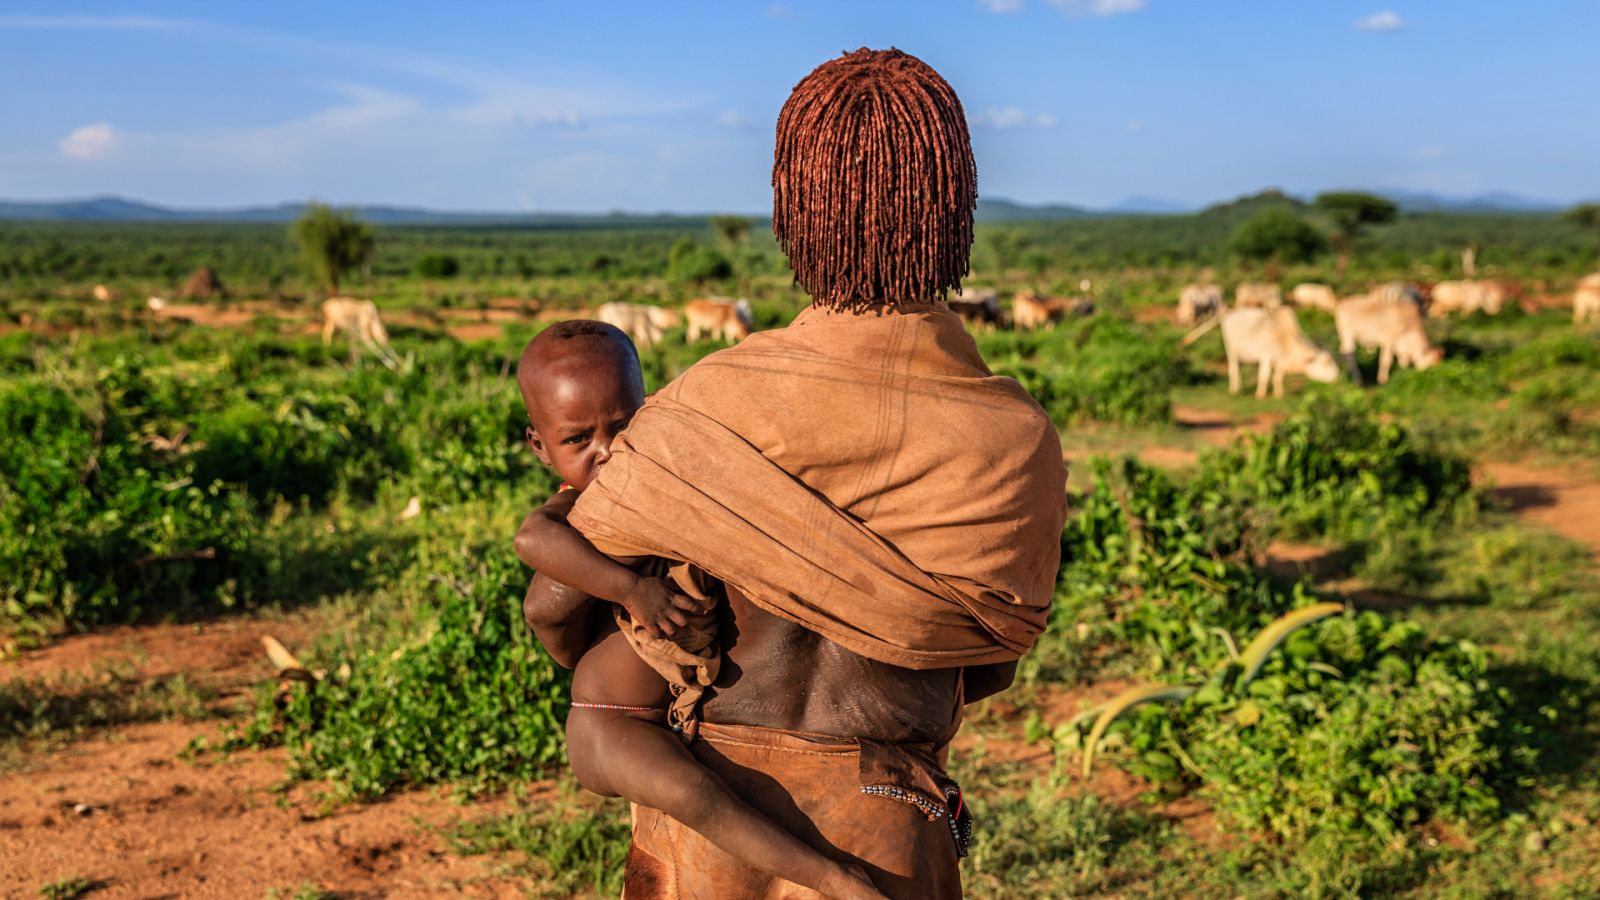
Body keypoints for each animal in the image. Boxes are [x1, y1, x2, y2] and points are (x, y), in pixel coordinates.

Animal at [1216, 304, 1344, 395]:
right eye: (1326, 363)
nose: (1338, 376)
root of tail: (1230, 314)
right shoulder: (1266, 358)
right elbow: (1264, 376)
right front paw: (1260, 395)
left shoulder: (1280, 362)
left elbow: (1278, 377)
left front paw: (1279, 394)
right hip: (1231, 353)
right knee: (1233, 370)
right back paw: (1234, 391)